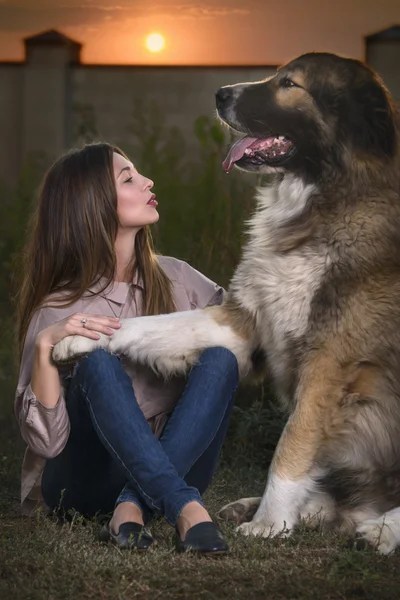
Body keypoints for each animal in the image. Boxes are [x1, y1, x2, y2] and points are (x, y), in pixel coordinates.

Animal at [53, 52, 400, 552]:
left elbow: (292, 443)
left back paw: (378, 530)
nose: (220, 94)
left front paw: (272, 520)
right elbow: (153, 324)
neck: (319, 202)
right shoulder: (240, 323)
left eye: (290, 84)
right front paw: (77, 338)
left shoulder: (330, 363)